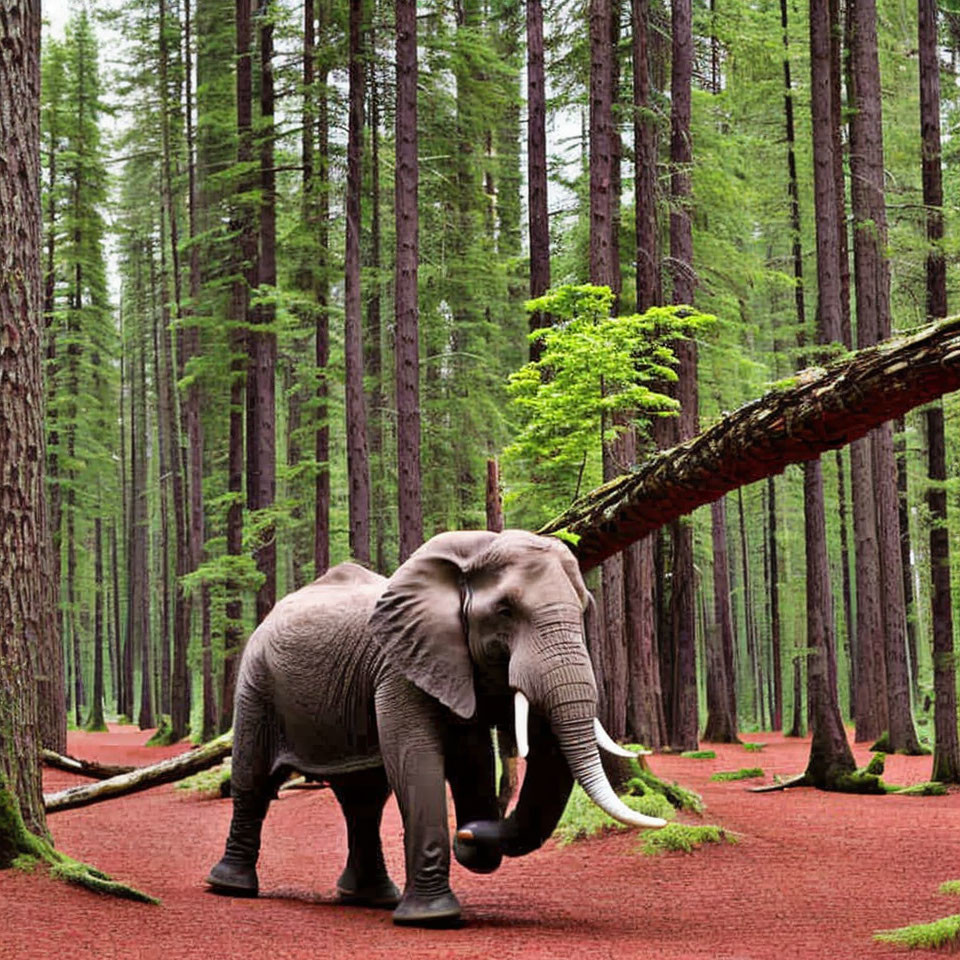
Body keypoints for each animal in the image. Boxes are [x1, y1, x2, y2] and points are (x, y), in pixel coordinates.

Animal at [206, 528, 664, 928]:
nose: (469, 832)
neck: (469, 556)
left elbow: (472, 759)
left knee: (363, 800)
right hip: (256, 684)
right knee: (253, 782)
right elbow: (417, 760)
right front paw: (434, 918)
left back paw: (370, 898)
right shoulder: (399, 666)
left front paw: (470, 842)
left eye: (585, 610)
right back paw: (229, 887)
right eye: (505, 612)